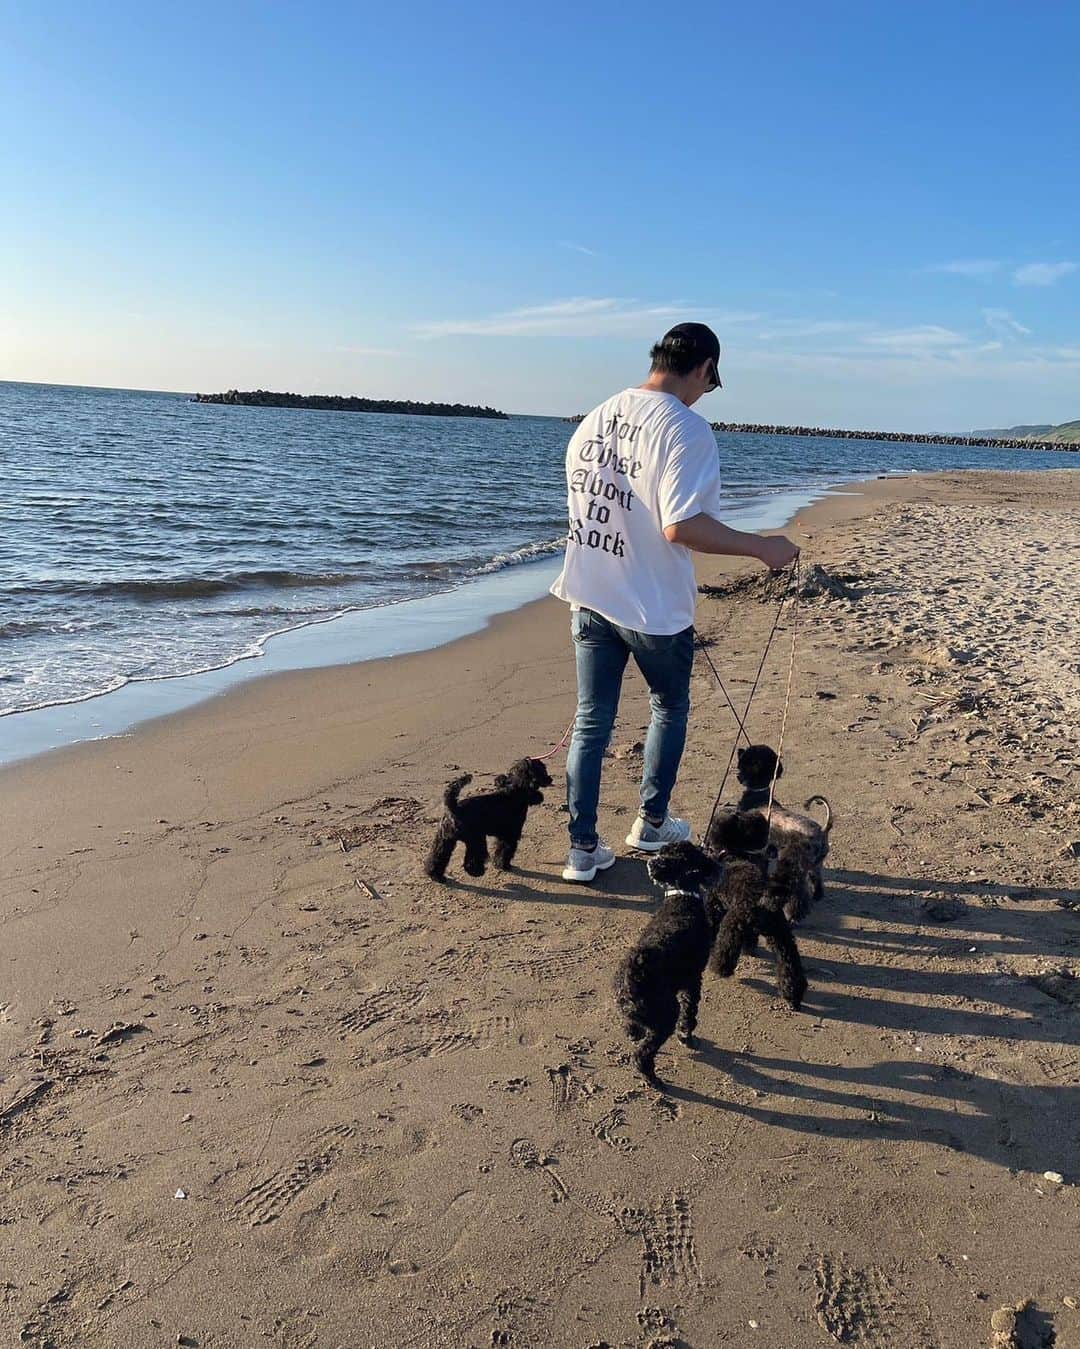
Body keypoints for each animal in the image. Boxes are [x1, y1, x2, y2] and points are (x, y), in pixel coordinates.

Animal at [423, 760, 552, 884]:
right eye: (542, 770)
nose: (550, 779)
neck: (515, 793)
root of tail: (453, 808)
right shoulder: (510, 835)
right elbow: (505, 851)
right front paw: (504, 865)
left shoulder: (503, 836)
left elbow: (500, 850)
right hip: (476, 840)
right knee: (471, 860)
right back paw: (477, 872)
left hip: (444, 841)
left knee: (436, 858)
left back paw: (436, 876)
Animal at [614, 841, 722, 1084]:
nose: (718, 866)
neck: (681, 897)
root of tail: (634, 975)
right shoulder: (693, 980)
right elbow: (690, 1010)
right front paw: (687, 1036)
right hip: (666, 1013)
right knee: (644, 1052)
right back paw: (652, 1077)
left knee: (632, 1028)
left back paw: (635, 1034)